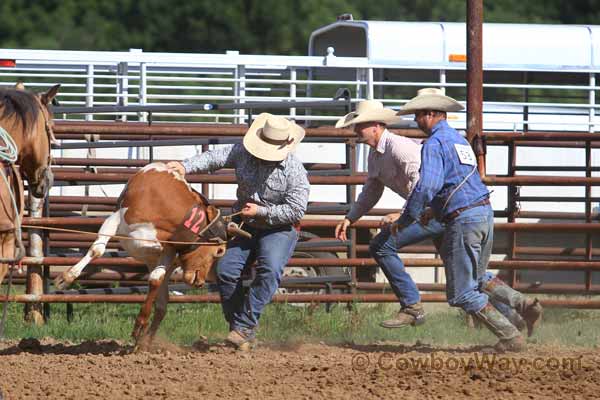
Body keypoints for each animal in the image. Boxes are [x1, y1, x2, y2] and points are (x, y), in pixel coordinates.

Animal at [54, 162, 230, 350]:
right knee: (162, 302)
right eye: (219, 251)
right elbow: (97, 250)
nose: (200, 282)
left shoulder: (169, 248)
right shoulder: (115, 219)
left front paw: (139, 325)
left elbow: (155, 278)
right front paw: (66, 278)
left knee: (162, 303)